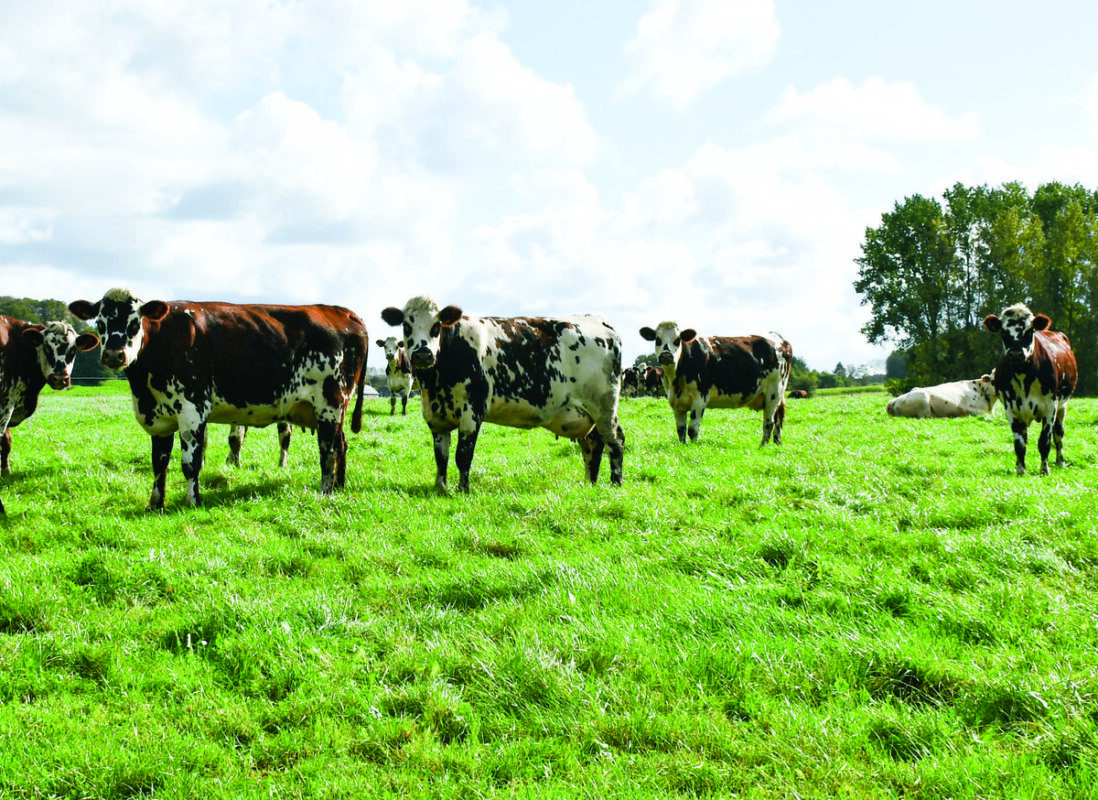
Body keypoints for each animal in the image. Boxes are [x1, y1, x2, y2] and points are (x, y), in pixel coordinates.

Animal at [0, 316, 99, 509]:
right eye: (46, 347)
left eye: (73, 350)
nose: (60, 378)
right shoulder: (4, 404)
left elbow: (6, 443)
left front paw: (6, 471)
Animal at [68, 289, 368, 509]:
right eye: (100, 323)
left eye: (134, 322)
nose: (113, 355)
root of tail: (341, 311)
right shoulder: (160, 418)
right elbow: (159, 462)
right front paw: (155, 504)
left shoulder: (192, 411)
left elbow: (190, 463)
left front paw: (192, 501)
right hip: (333, 410)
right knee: (342, 445)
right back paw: (339, 488)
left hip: (329, 405)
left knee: (328, 451)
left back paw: (325, 492)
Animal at [379, 294, 623, 489]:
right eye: (406, 326)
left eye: (436, 326)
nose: (423, 354)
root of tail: (601, 322)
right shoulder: (436, 417)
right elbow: (441, 457)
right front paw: (441, 488)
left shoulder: (472, 411)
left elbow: (462, 456)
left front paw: (462, 490)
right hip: (586, 414)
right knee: (593, 445)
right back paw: (590, 484)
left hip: (604, 407)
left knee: (615, 441)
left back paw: (615, 484)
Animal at [641, 320, 794, 445]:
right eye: (657, 339)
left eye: (677, 340)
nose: (666, 356)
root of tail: (780, 339)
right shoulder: (676, 402)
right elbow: (681, 430)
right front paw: (683, 446)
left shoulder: (700, 398)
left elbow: (692, 429)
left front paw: (692, 448)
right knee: (778, 419)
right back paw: (777, 443)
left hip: (774, 392)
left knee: (769, 422)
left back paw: (762, 447)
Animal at [983, 298, 1076, 474]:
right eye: (1003, 332)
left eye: (1030, 331)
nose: (1016, 354)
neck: (1023, 376)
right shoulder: (1011, 408)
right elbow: (1019, 444)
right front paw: (1021, 470)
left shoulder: (1050, 407)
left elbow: (1044, 441)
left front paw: (1044, 469)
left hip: (1063, 406)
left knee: (1059, 434)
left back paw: (1060, 461)